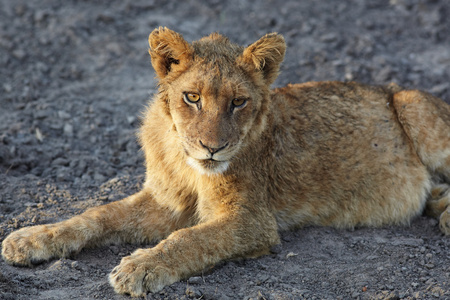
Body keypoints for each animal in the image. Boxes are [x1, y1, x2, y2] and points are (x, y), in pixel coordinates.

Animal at [0, 27, 450, 296]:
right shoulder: (163, 202)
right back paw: (440, 206)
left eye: (238, 102)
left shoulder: (253, 220)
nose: (212, 148)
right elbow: (97, 215)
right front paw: (30, 239)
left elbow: (191, 238)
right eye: (192, 97)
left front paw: (139, 267)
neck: (186, 163)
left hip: (412, 105)